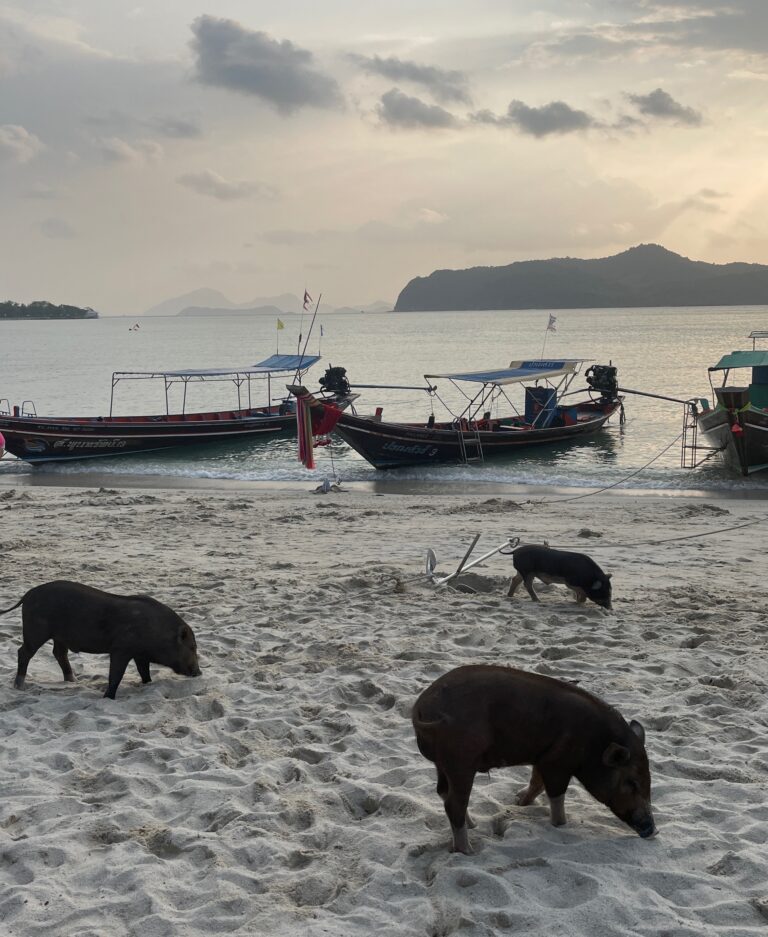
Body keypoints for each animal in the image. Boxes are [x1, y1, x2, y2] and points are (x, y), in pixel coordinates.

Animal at [1, 580, 201, 699]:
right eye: (192, 647)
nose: (199, 673)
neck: (157, 630)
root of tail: (28, 594)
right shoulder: (121, 649)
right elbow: (116, 674)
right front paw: (108, 697)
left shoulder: (140, 654)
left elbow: (144, 672)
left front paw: (147, 684)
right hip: (36, 632)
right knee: (24, 652)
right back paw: (19, 686)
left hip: (59, 636)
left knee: (58, 653)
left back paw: (73, 681)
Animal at [412, 664, 655, 854]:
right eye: (631, 782)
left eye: (649, 780)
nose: (653, 830)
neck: (595, 742)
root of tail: (422, 709)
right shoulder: (557, 763)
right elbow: (556, 795)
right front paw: (561, 824)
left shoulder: (544, 757)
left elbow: (536, 783)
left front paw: (519, 802)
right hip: (460, 761)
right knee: (453, 803)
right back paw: (469, 851)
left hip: (443, 765)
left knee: (443, 793)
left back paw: (473, 826)